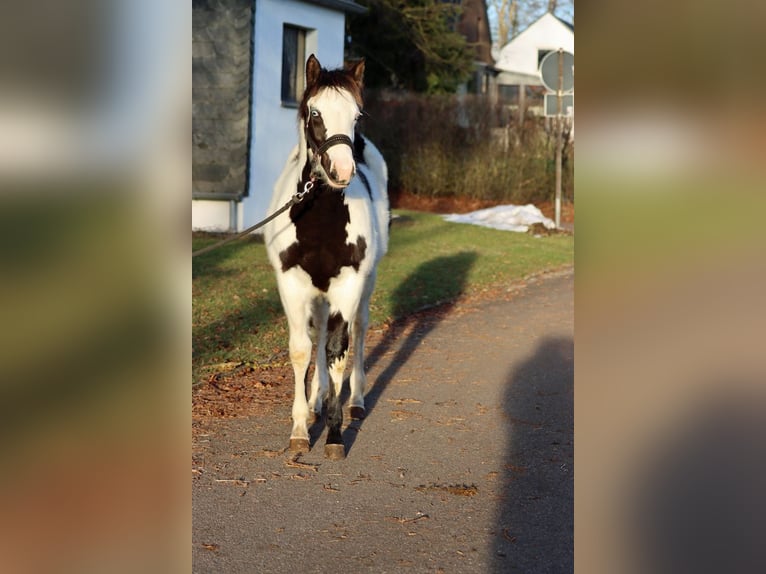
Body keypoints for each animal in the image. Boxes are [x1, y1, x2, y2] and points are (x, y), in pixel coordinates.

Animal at [268, 53, 392, 460]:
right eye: (315, 112)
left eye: (357, 115)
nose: (342, 170)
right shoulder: (292, 284)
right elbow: (302, 351)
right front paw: (299, 428)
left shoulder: (348, 284)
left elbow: (338, 351)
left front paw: (335, 435)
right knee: (318, 330)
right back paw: (315, 403)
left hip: (363, 285)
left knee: (360, 328)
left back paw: (355, 400)